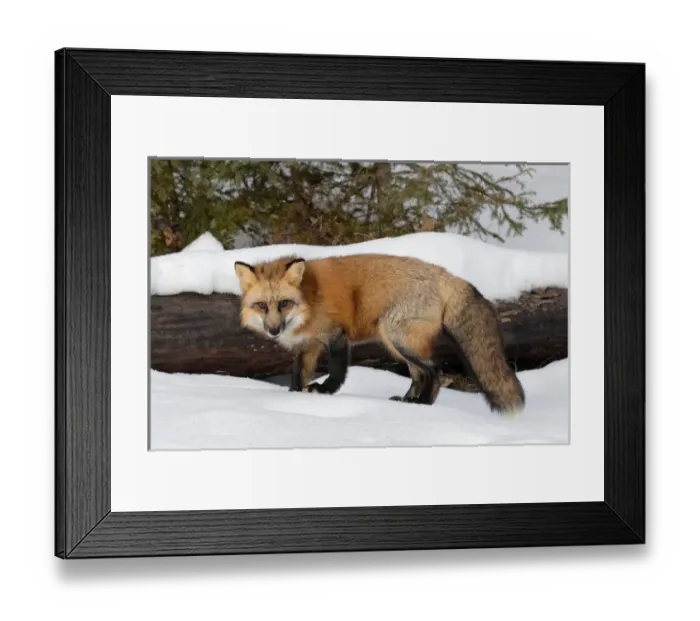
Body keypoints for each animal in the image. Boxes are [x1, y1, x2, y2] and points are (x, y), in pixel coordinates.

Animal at [234, 254, 525, 414]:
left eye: (284, 303)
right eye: (262, 306)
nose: (273, 330)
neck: (308, 300)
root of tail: (447, 275)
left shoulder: (336, 336)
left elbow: (337, 372)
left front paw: (324, 392)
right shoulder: (308, 345)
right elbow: (298, 375)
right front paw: (295, 397)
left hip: (397, 337)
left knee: (435, 370)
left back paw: (424, 404)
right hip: (397, 344)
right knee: (419, 375)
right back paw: (408, 402)